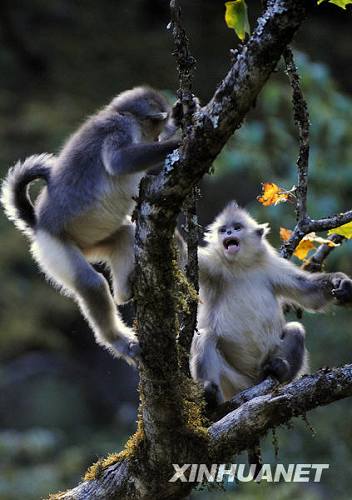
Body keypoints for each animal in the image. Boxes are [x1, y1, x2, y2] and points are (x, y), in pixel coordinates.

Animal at [1, 87, 180, 368]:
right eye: (154, 131)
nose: (158, 137)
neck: (121, 113)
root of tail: (39, 225)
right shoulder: (118, 127)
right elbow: (119, 162)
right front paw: (175, 142)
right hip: (54, 249)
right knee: (91, 284)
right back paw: (118, 340)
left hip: (92, 244)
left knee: (125, 234)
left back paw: (124, 292)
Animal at [187, 201, 352, 404]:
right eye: (223, 230)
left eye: (237, 228)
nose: (228, 233)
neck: (241, 265)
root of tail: (250, 384)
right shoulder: (210, 265)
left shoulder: (273, 267)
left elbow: (310, 294)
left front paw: (343, 285)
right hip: (232, 382)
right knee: (206, 336)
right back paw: (211, 398)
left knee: (296, 330)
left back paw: (280, 371)